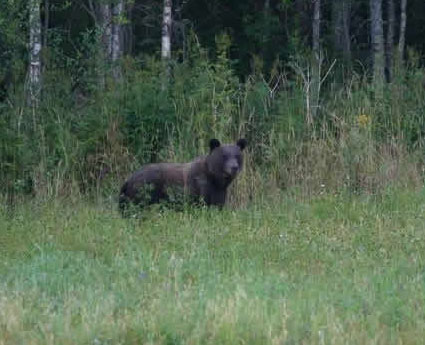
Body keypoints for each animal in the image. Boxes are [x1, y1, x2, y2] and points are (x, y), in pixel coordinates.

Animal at [117, 138, 247, 215]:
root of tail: (128, 179)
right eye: (224, 156)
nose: (234, 167)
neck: (215, 178)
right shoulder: (198, 188)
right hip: (143, 192)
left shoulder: (219, 193)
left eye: (237, 155)